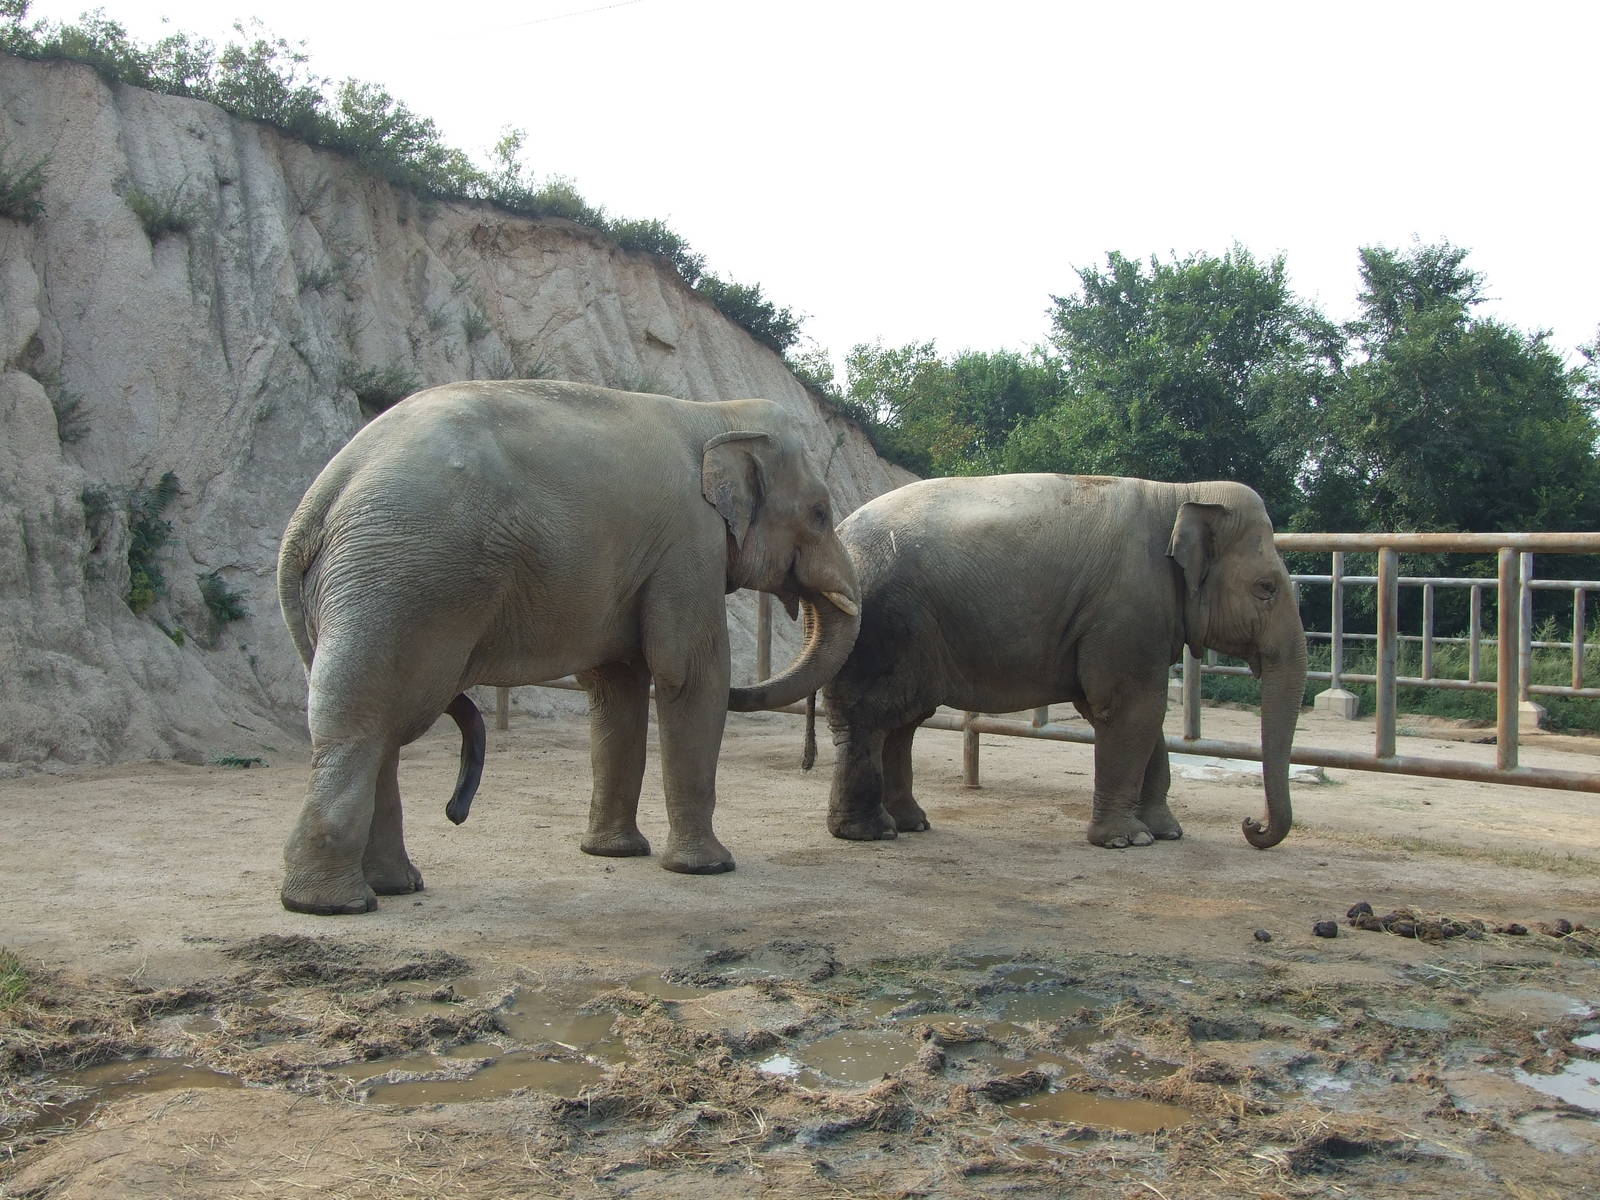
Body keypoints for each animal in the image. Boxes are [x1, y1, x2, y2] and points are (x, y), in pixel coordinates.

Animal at [276, 379, 861, 915]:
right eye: (820, 513)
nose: (454, 813)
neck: (716, 415)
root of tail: (324, 492)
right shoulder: (690, 543)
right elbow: (690, 674)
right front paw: (709, 868)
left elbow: (618, 684)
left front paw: (614, 854)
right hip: (405, 578)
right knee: (368, 724)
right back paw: (334, 905)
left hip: (373, 583)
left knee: (379, 725)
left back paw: (392, 887)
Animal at [808, 474, 1307, 851]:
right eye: (1266, 588)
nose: (1252, 825)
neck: (1181, 494)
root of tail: (840, 532)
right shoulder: (1126, 611)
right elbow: (1129, 710)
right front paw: (1127, 841)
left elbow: (1141, 715)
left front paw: (1166, 833)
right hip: (883, 625)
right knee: (871, 717)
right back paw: (869, 833)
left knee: (904, 720)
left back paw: (911, 823)